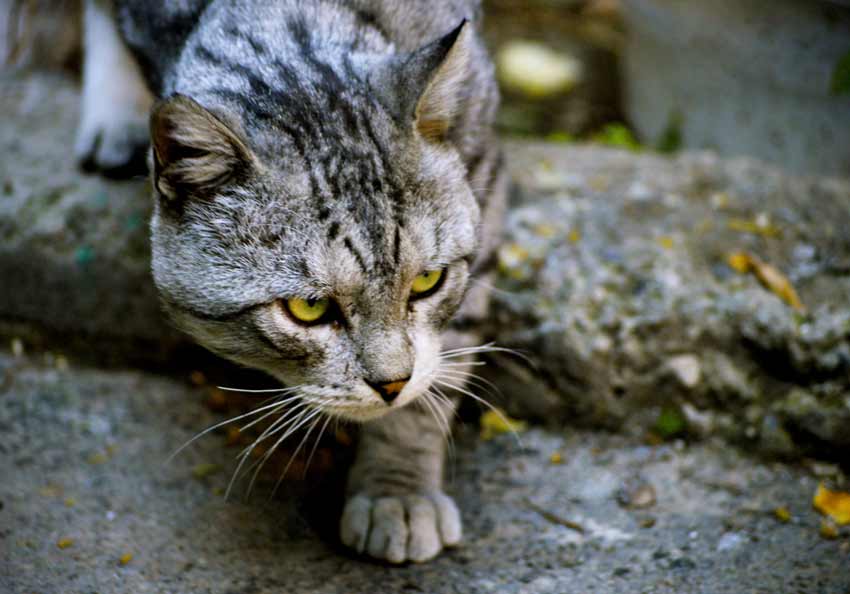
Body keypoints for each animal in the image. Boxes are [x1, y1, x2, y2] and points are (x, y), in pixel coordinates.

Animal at [76, 0, 504, 560]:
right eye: (309, 308)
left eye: (427, 281)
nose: (391, 384)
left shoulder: (486, 177)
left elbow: (440, 371)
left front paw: (399, 489)